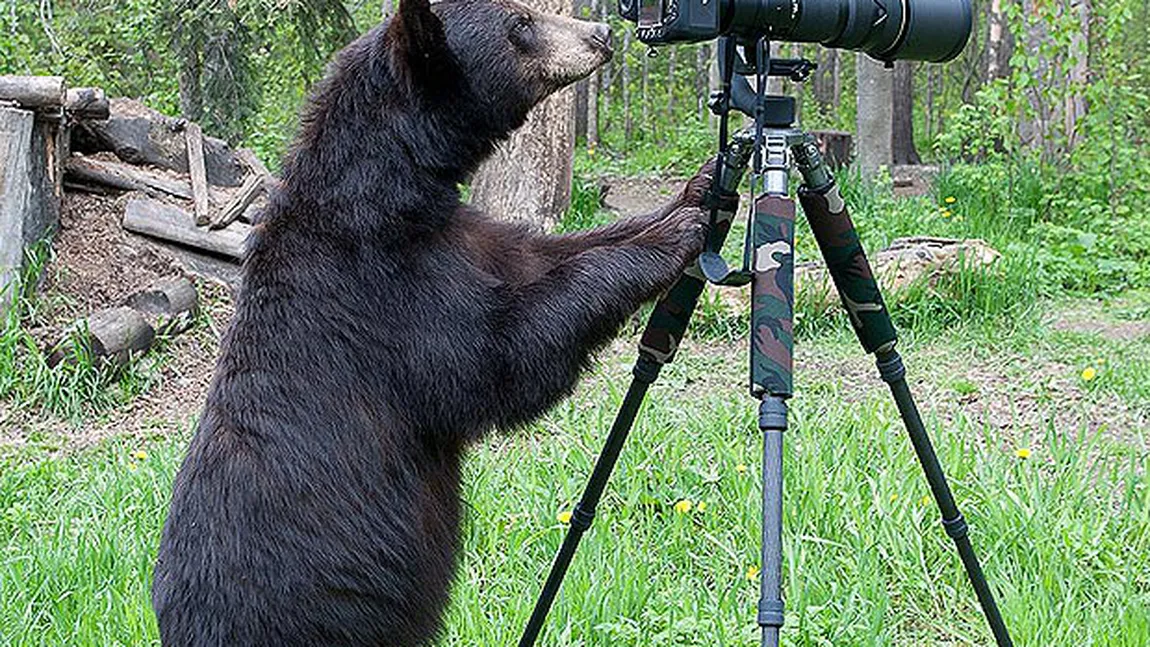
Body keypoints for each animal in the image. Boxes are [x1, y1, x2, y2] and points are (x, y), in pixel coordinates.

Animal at [149, 0, 713, 643]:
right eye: (521, 24)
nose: (600, 33)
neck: (392, 196)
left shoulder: (461, 236)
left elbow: (543, 256)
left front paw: (695, 191)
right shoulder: (386, 296)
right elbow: (497, 359)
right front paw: (675, 235)